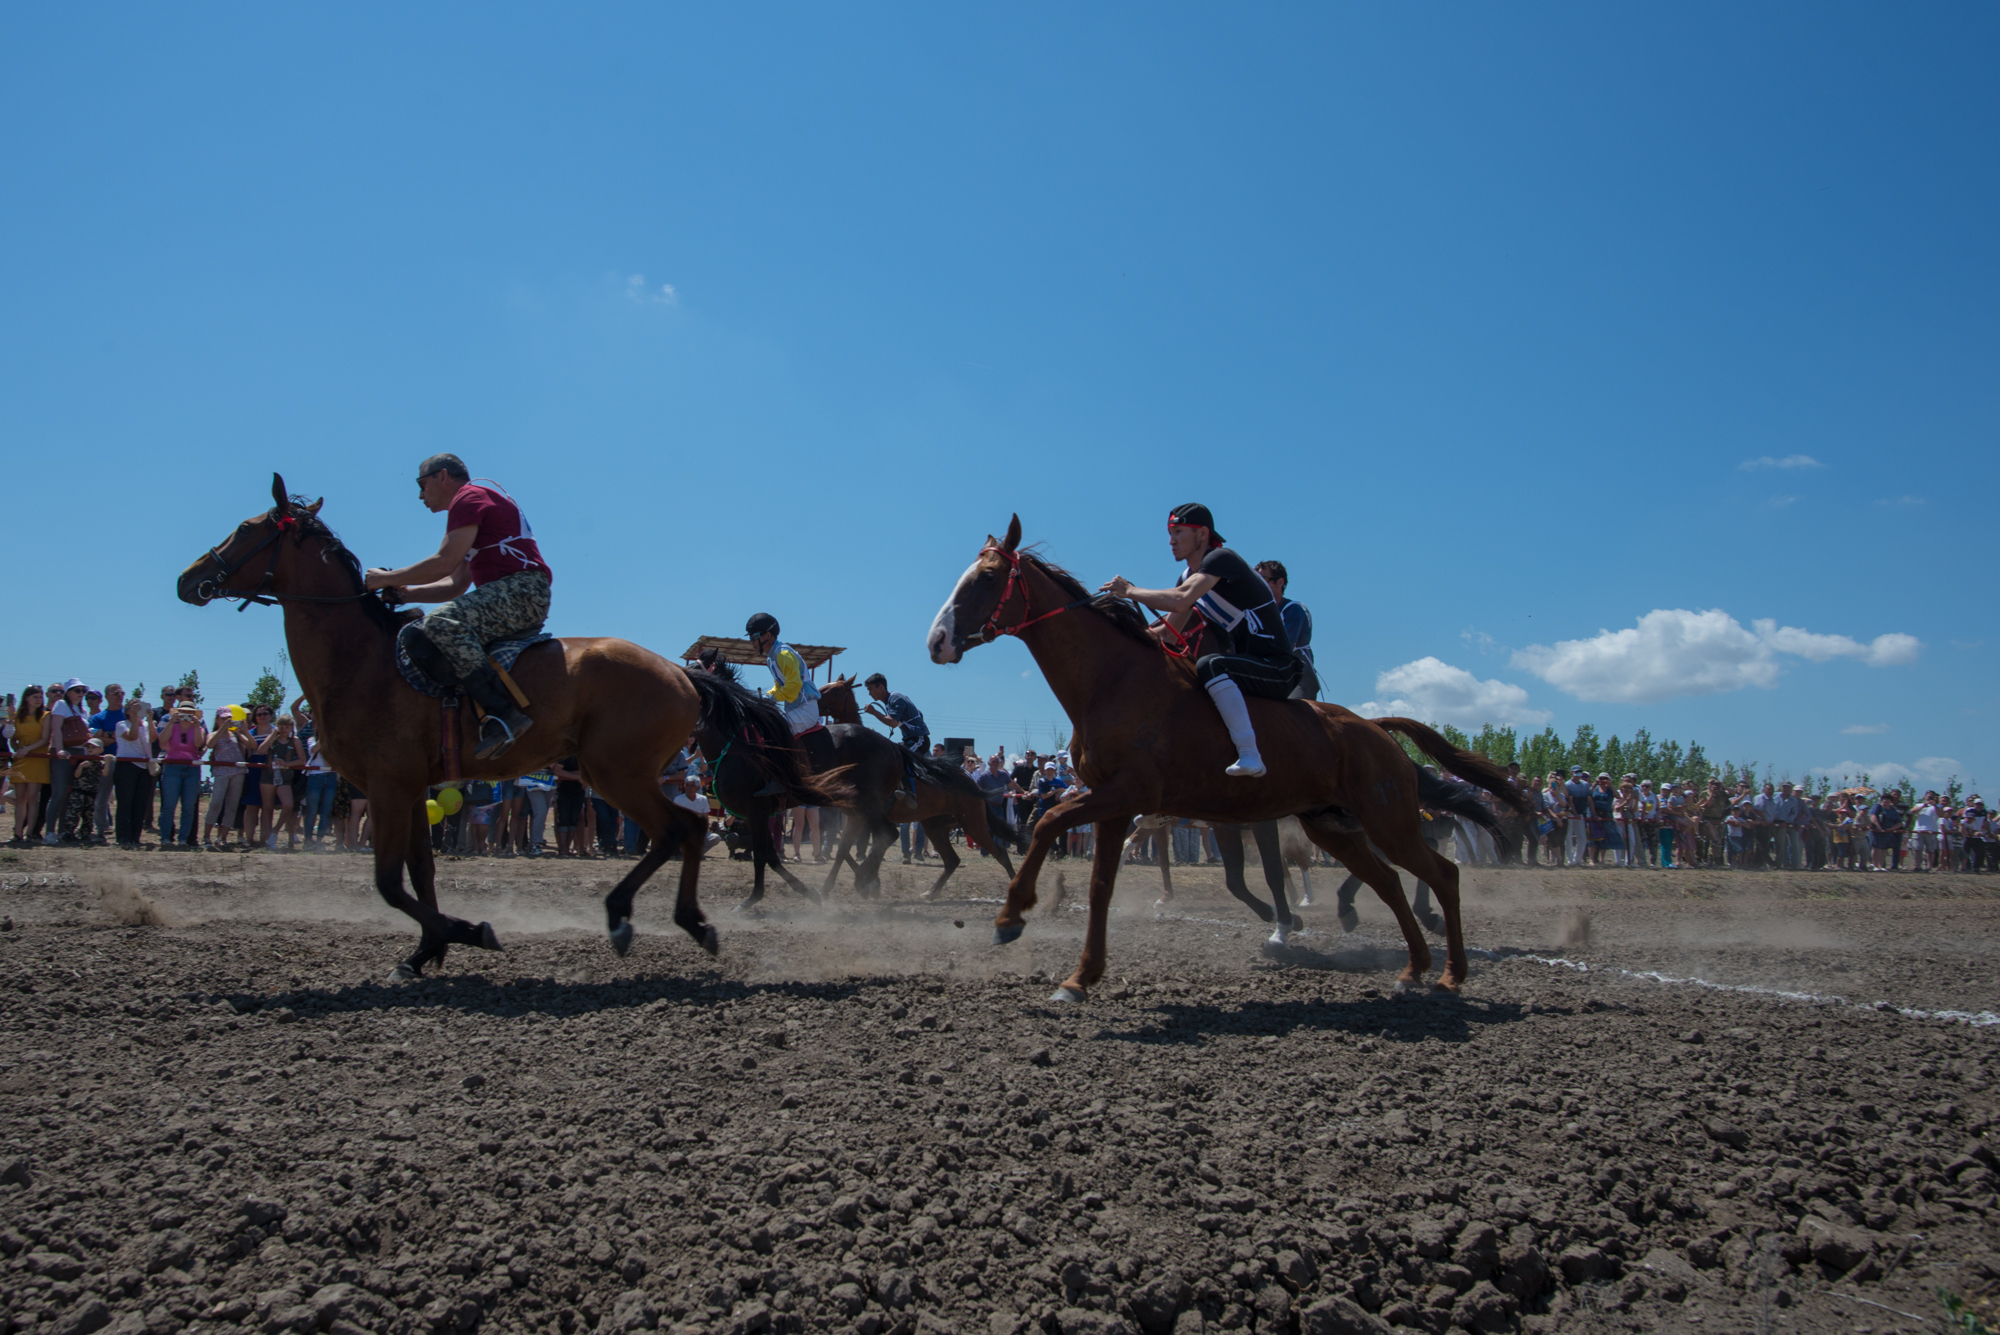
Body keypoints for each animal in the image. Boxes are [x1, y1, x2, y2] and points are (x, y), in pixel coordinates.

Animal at [178, 473, 736, 975]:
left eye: (245, 528)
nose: (187, 579)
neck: (361, 661)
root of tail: (681, 674)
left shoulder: (387, 785)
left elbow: (389, 883)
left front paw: (468, 932)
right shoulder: (407, 789)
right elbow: (420, 872)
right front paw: (426, 951)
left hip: (616, 773)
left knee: (678, 829)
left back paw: (629, 917)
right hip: (621, 775)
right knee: (687, 829)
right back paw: (686, 922)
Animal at [812, 679, 1016, 895]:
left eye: (834, 689)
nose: (814, 699)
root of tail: (971, 781)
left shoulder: (863, 815)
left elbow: (854, 848)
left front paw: (868, 881)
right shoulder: (856, 815)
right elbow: (845, 849)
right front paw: (866, 882)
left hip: (972, 823)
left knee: (1000, 853)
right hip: (935, 825)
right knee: (952, 860)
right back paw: (931, 893)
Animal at [924, 519, 1528, 999]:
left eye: (986, 578)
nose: (936, 640)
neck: (1113, 680)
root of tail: (1375, 729)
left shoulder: (1128, 793)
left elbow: (1047, 820)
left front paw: (1011, 915)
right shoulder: (1114, 804)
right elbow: (1098, 885)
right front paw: (1080, 976)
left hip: (1388, 820)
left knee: (1442, 873)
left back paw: (1449, 972)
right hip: (1333, 826)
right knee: (1387, 881)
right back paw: (1412, 968)